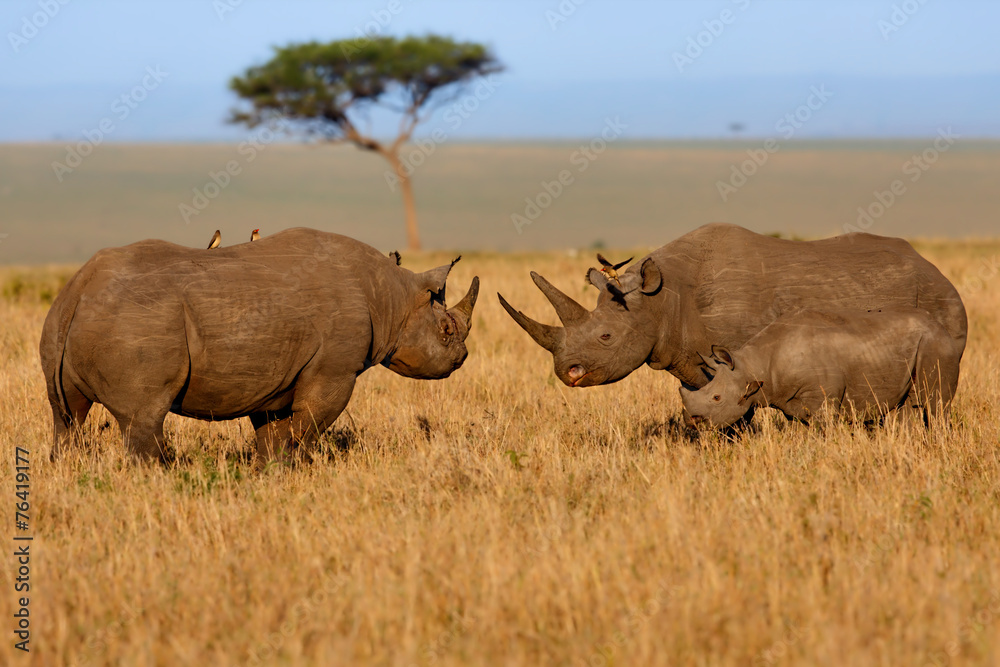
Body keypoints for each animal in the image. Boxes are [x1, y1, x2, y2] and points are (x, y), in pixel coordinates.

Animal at [39, 227, 480, 464]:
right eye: (446, 329)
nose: (461, 358)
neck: (392, 295)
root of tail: (79, 288)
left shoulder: (276, 373)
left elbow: (272, 431)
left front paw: (268, 472)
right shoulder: (335, 369)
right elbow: (306, 427)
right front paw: (294, 465)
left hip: (62, 320)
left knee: (68, 418)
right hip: (139, 321)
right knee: (143, 417)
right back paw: (166, 474)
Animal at [498, 224, 967, 394]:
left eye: (606, 336)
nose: (567, 374)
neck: (662, 298)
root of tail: (936, 269)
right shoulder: (685, 355)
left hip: (940, 300)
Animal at [679, 308, 962, 428]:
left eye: (717, 398)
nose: (692, 423)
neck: (751, 366)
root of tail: (943, 329)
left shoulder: (823, 400)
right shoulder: (790, 401)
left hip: (937, 346)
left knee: (936, 406)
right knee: (908, 408)